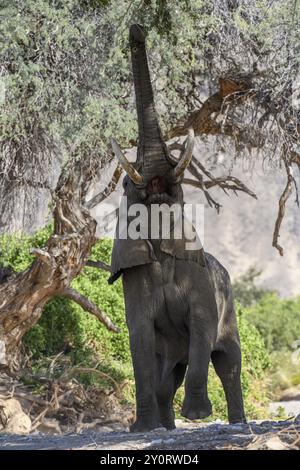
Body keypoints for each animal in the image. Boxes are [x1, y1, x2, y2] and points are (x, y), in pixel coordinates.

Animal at [108, 23, 246, 432]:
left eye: (180, 187)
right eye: (126, 183)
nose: (137, 28)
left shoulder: (200, 283)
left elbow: (202, 327)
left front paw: (198, 416)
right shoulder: (134, 282)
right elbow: (139, 339)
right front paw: (143, 429)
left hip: (229, 303)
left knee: (229, 364)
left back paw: (236, 424)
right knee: (167, 377)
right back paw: (163, 428)